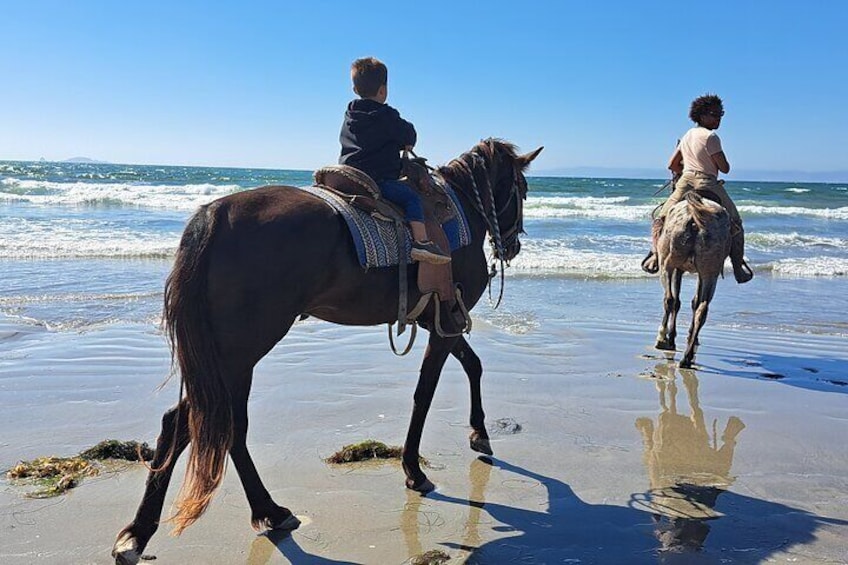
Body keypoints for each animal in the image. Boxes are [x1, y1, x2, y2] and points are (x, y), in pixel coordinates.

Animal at [112, 139, 540, 560]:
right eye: (522, 190)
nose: (513, 246)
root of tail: (215, 215)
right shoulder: (446, 324)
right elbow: (426, 394)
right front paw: (414, 470)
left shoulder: (438, 321)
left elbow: (473, 364)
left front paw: (478, 433)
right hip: (240, 352)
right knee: (212, 424)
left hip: (225, 355)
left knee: (201, 424)